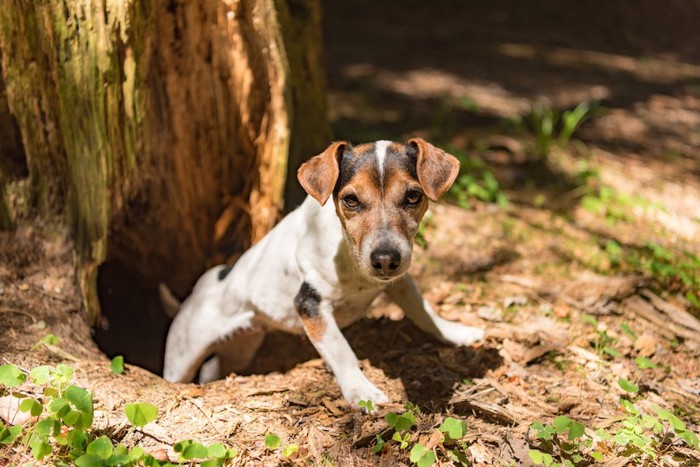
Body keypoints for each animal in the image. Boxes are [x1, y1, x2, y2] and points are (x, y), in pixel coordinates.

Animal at [161, 138, 484, 406]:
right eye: (351, 200)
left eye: (414, 196)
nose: (385, 259)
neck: (350, 259)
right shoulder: (310, 305)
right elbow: (341, 349)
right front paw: (360, 391)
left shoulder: (399, 283)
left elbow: (423, 311)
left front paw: (454, 331)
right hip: (182, 357)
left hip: (240, 349)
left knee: (212, 369)